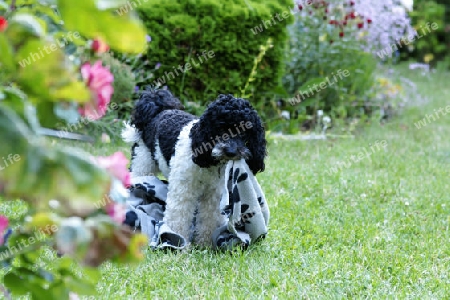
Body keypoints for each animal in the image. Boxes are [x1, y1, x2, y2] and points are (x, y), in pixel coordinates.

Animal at [121, 89, 266, 246]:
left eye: (245, 132)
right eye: (220, 128)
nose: (231, 152)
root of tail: (157, 111)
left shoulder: (213, 195)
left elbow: (209, 219)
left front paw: (205, 243)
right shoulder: (183, 192)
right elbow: (179, 217)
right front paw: (177, 241)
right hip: (141, 164)